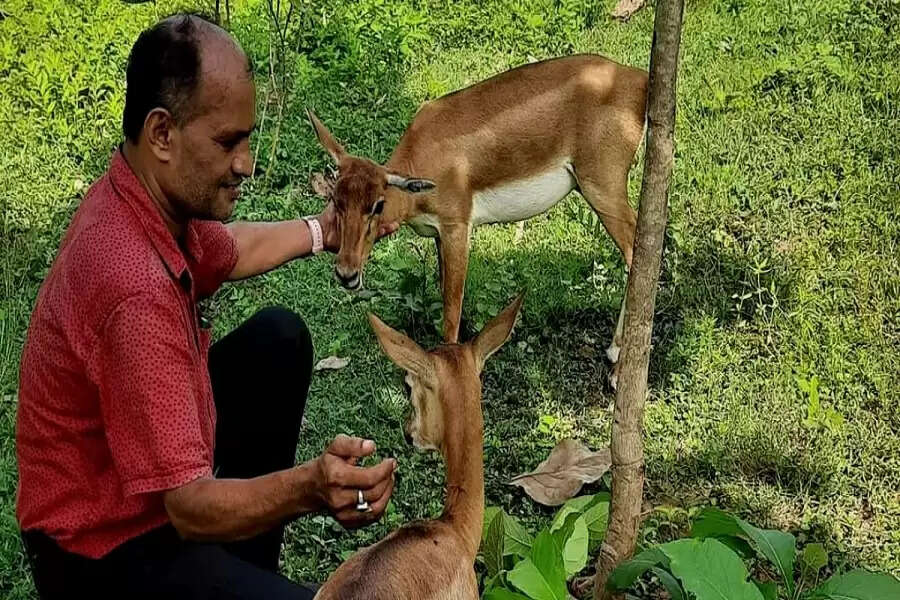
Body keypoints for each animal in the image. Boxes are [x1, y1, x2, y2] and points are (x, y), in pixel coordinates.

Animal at [310, 54, 648, 378]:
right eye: (335, 199)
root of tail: (638, 79)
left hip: (602, 187)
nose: (346, 273)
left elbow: (451, 309)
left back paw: (616, 365)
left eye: (378, 204)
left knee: (637, 255)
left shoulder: (457, 226)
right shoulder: (438, 236)